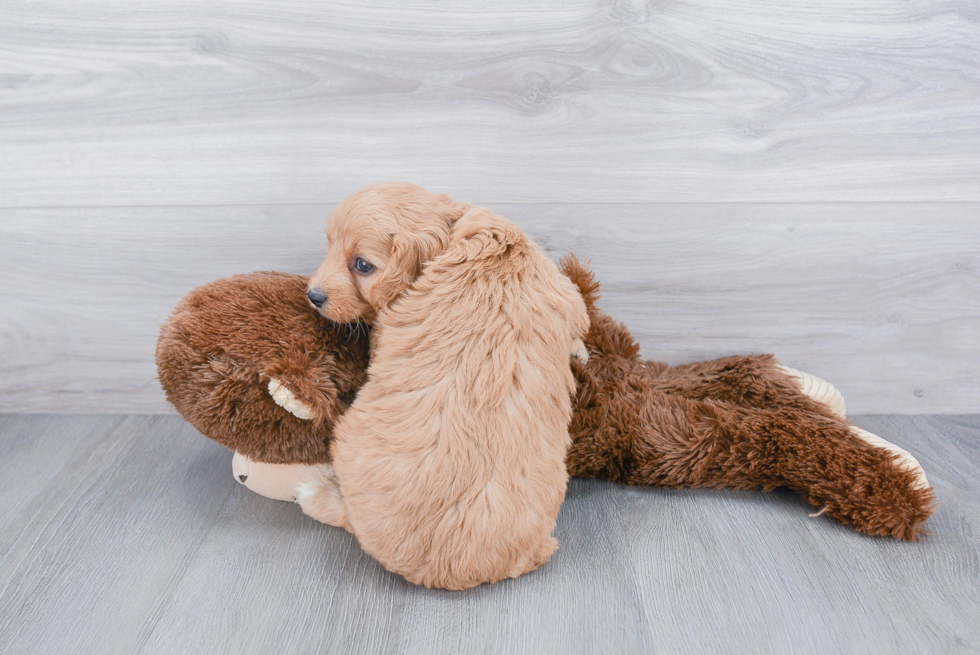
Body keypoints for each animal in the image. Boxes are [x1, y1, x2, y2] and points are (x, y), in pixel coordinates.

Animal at [298, 183, 584, 588]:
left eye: (363, 265)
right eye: (329, 246)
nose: (314, 296)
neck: (455, 237)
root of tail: (446, 570)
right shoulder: (563, 291)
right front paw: (580, 351)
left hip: (347, 441)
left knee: (349, 517)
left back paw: (314, 495)